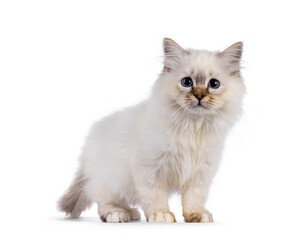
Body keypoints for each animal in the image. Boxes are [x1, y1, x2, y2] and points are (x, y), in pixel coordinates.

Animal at [57, 37, 245, 223]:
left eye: (214, 84)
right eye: (187, 82)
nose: (199, 96)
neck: (192, 127)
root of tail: (89, 144)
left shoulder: (200, 173)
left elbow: (194, 198)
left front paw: (196, 215)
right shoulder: (150, 170)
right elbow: (155, 196)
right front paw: (161, 215)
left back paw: (131, 212)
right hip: (111, 180)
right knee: (104, 202)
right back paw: (117, 214)